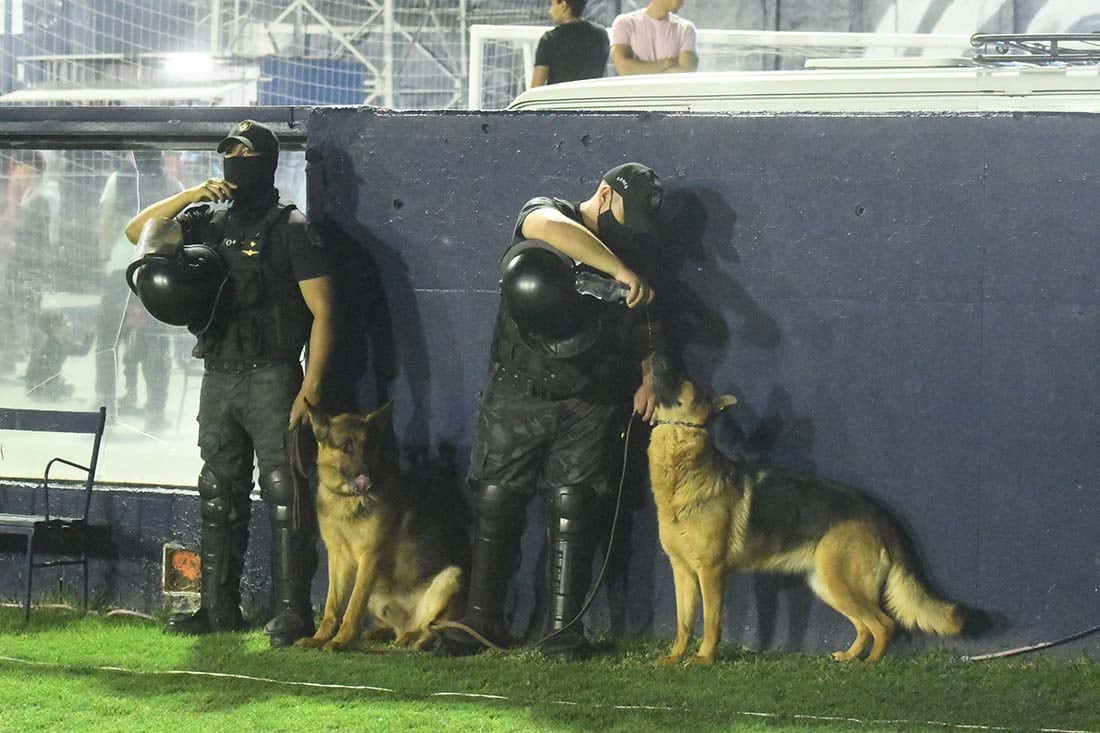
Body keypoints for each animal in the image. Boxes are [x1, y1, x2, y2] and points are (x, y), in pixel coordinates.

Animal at [294, 400, 466, 651]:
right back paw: (378, 633)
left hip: (450, 577)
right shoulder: (337, 557)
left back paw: (414, 638)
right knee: (396, 628)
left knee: (430, 627)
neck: (348, 500)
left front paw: (340, 641)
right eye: (345, 446)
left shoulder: (370, 557)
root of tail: (406, 624)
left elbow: (353, 606)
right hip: (375, 595)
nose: (366, 478)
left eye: (368, 446)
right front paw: (319, 637)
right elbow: (331, 606)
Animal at [646, 354, 959, 660]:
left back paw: (870, 664)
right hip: (829, 585)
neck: (682, 472)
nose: (654, 358)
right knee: (865, 626)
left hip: (840, 584)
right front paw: (675, 659)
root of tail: (878, 514)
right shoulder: (682, 571)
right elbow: (684, 622)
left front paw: (703, 659)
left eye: (685, 381)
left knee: (884, 624)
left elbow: (711, 621)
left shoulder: (711, 572)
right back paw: (850, 657)